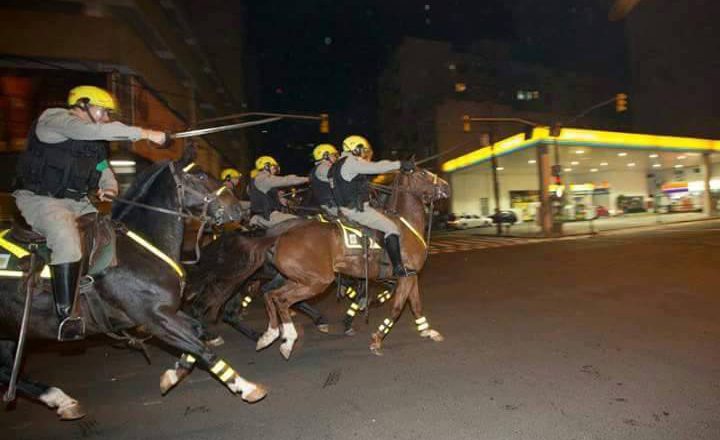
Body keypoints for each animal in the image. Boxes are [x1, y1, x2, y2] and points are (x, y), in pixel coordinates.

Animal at [0, 153, 268, 422]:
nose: (240, 208)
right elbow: (200, 348)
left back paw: (62, 400)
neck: (139, 248)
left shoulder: (166, 311)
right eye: (200, 175)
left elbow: (198, 333)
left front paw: (174, 373)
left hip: (10, 335)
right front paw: (245, 386)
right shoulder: (154, 319)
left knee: (6, 371)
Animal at [256, 167, 450, 360]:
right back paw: (289, 339)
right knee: (282, 300)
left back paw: (270, 334)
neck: (405, 225)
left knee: (271, 295)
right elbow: (396, 308)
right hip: (316, 282)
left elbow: (416, 305)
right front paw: (377, 339)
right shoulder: (405, 276)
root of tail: (282, 236)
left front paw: (427, 331)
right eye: (422, 173)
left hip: (299, 279)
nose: (446, 185)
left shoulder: (411, 275)